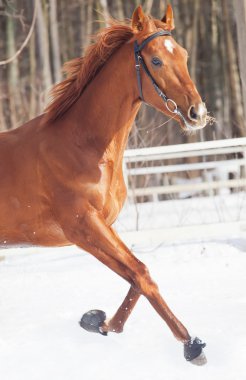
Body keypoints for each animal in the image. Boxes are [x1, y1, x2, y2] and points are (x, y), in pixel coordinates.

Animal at [0, 4, 208, 364]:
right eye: (156, 60)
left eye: (182, 54)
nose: (198, 112)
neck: (84, 147)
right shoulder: (83, 228)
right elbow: (140, 274)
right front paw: (191, 343)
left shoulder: (105, 225)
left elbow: (139, 273)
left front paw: (98, 321)